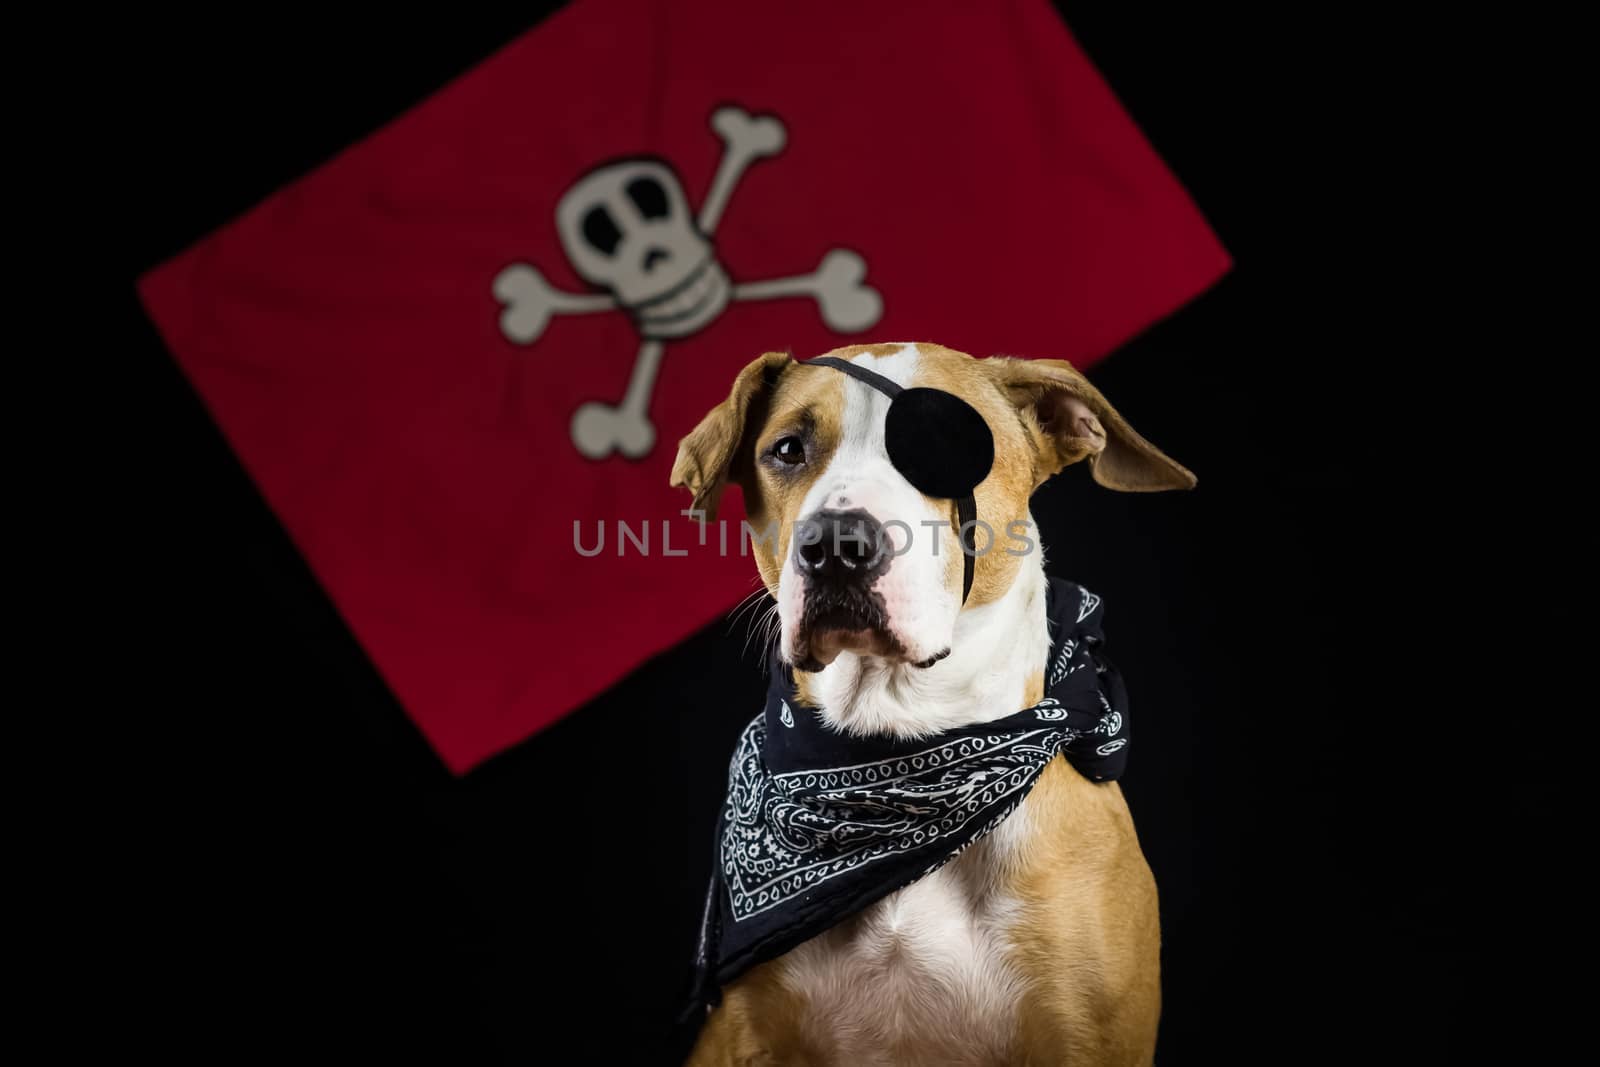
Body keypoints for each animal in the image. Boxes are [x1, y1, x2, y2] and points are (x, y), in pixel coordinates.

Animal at [668, 347, 1196, 1062]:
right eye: (787, 449)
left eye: (948, 446)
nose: (836, 544)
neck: (905, 754)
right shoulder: (742, 1038)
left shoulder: (1092, 1037)